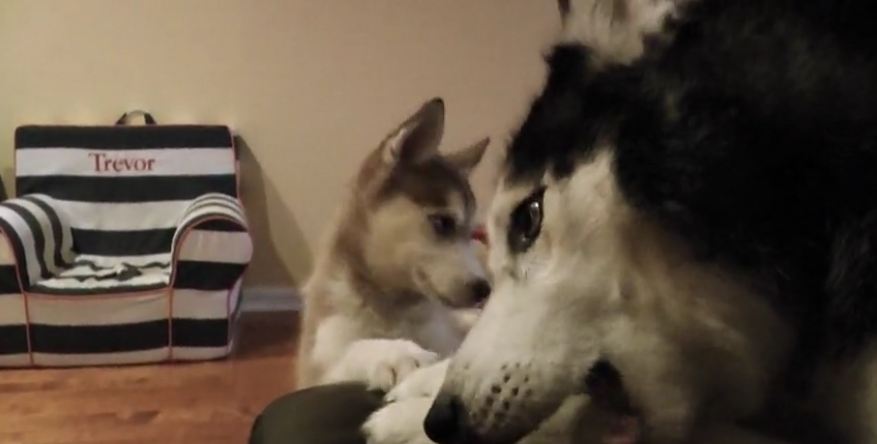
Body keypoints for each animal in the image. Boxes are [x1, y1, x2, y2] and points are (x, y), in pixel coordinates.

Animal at [292, 98, 486, 392]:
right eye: (443, 223)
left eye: (471, 233)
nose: (484, 289)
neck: (393, 308)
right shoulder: (315, 370)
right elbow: (355, 349)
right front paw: (398, 353)